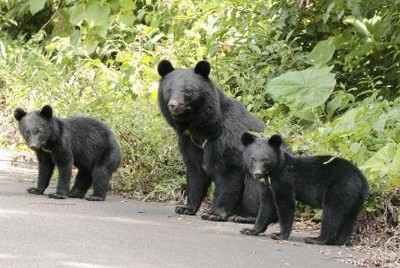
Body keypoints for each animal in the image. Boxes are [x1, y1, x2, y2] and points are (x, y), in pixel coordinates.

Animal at [158, 60, 268, 222]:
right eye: (169, 90)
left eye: (188, 91)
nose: (173, 105)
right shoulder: (188, 141)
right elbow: (195, 172)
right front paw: (185, 208)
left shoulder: (226, 138)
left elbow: (228, 173)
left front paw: (214, 213)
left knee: (254, 188)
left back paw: (245, 217)